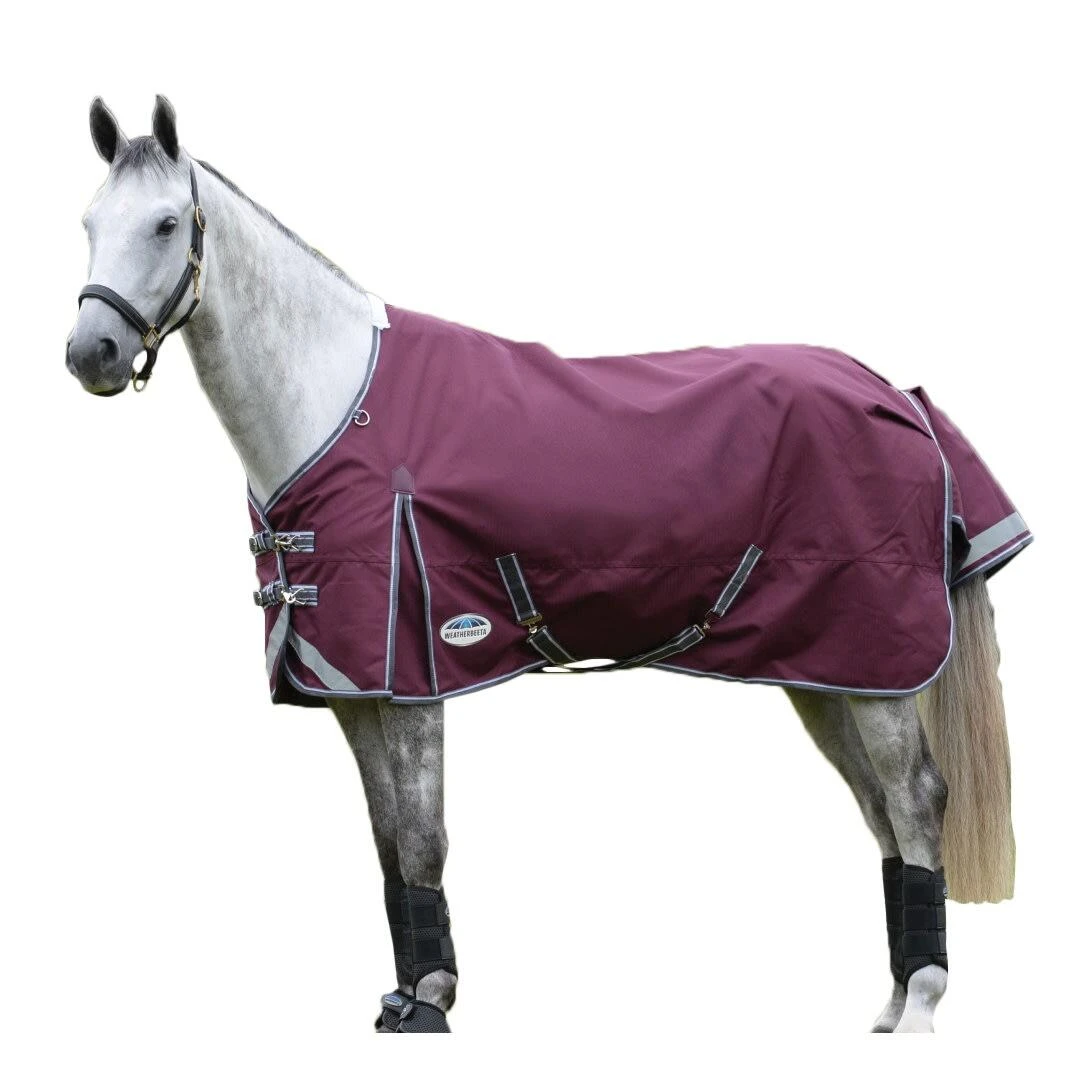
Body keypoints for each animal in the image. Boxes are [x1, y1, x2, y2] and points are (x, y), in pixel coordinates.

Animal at [66, 96, 1028, 1034]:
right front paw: (403, 998)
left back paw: (922, 1004)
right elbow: (386, 842)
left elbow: (423, 837)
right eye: (87, 222)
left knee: (916, 799)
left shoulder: (414, 675)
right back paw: (893, 1004)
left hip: (878, 669)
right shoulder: (354, 688)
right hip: (827, 670)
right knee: (881, 813)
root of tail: (894, 394)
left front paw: (432, 1003)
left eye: (164, 224)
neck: (335, 405)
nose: (90, 355)